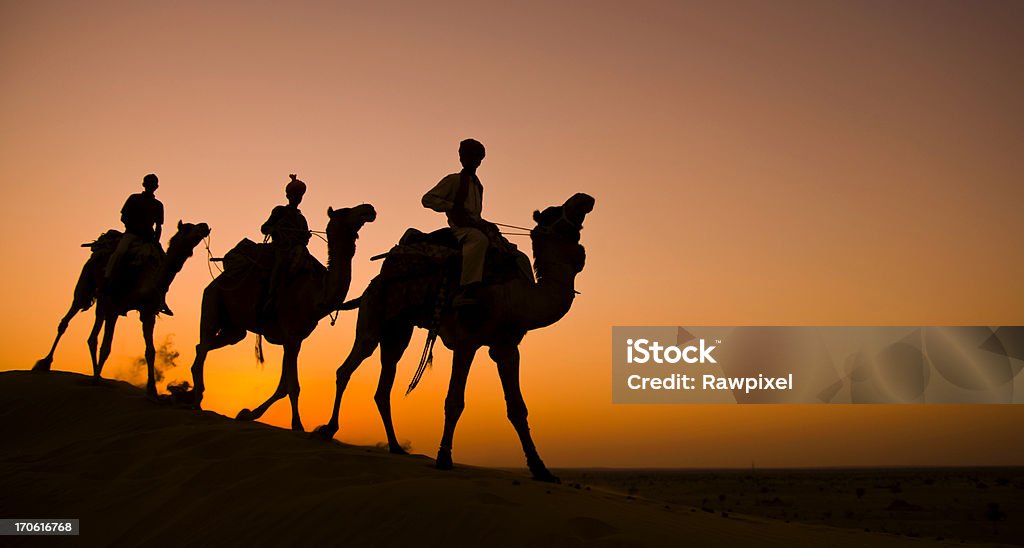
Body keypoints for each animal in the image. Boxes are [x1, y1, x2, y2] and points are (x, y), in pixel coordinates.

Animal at [35, 221, 211, 397]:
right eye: (187, 227)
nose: (204, 225)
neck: (147, 281)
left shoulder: (147, 313)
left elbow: (150, 351)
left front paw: (152, 390)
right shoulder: (114, 308)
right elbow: (106, 347)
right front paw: (96, 380)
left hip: (101, 301)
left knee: (92, 336)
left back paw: (95, 374)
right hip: (86, 285)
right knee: (67, 320)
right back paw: (45, 363)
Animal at [188, 203, 376, 430]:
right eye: (346, 211)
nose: (369, 208)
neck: (317, 297)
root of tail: (215, 281)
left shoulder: (295, 340)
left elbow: (283, 386)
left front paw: (247, 413)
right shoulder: (291, 337)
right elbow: (293, 386)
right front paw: (297, 425)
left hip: (233, 328)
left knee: (205, 344)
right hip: (212, 301)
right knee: (204, 344)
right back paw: (196, 402)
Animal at [315, 190, 598, 483]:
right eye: (554, 212)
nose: (583, 197)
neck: (515, 296)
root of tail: (374, 282)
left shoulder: (506, 347)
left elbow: (518, 408)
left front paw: (541, 469)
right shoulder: (466, 341)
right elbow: (454, 401)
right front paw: (443, 457)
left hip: (398, 331)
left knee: (384, 383)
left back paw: (394, 446)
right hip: (373, 317)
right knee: (348, 366)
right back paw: (328, 429)